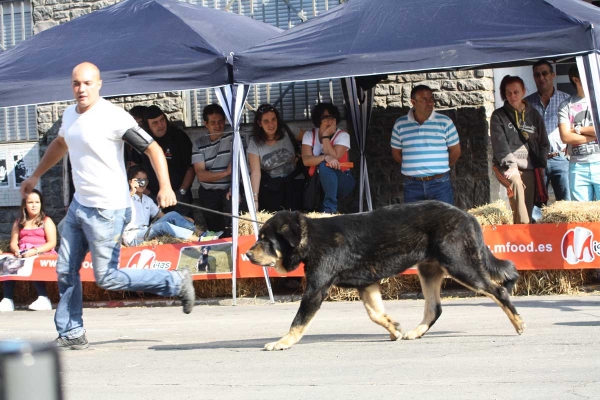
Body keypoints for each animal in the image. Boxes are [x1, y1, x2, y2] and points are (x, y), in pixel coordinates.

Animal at [246, 200, 524, 350]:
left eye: (266, 240)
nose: (247, 254)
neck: (311, 239)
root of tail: (469, 217)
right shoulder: (367, 284)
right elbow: (376, 314)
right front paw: (394, 328)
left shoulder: (316, 289)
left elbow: (299, 321)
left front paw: (282, 342)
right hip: (429, 269)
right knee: (434, 309)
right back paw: (415, 332)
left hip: (460, 265)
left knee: (498, 290)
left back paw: (519, 323)